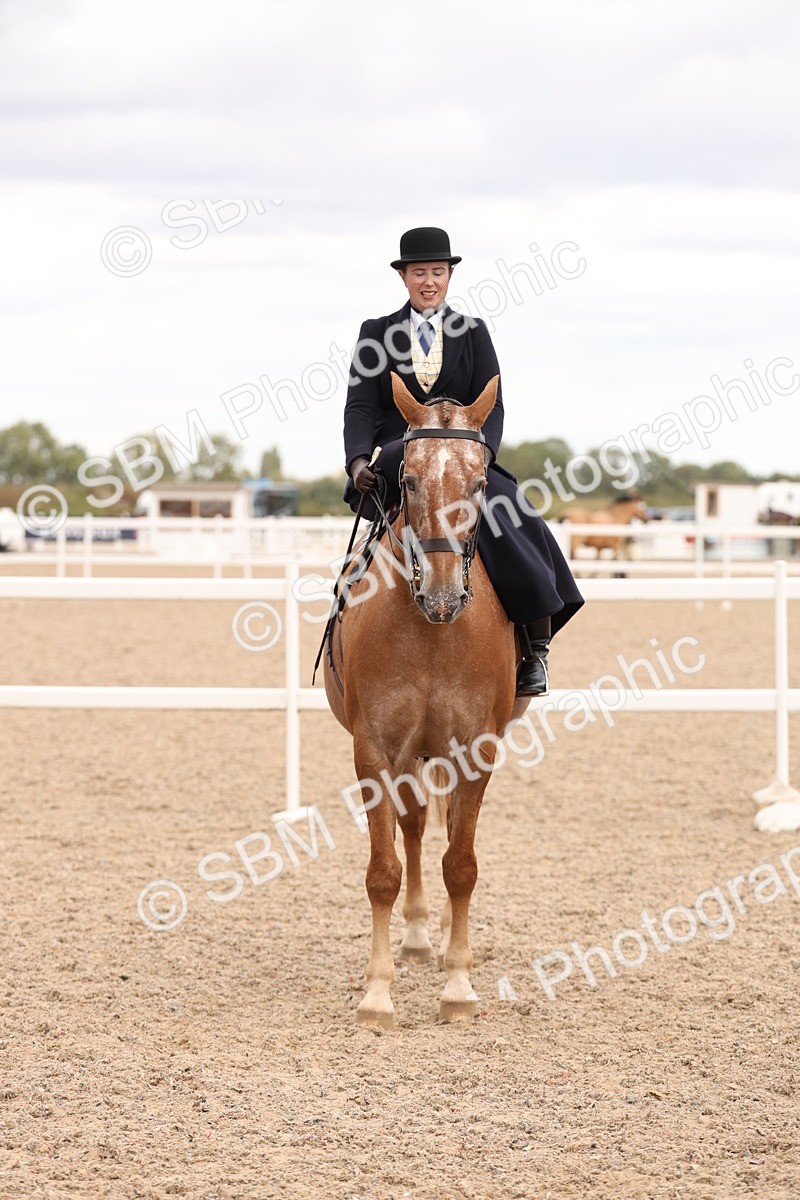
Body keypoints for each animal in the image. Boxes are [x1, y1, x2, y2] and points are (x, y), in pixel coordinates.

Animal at [323, 372, 530, 1028]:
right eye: (407, 479)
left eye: (480, 482)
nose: (442, 596)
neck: (433, 633)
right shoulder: (374, 752)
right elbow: (384, 871)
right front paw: (377, 992)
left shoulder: (477, 750)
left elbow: (461, 866)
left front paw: (459, 986)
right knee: (414, 827)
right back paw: (417, 937)